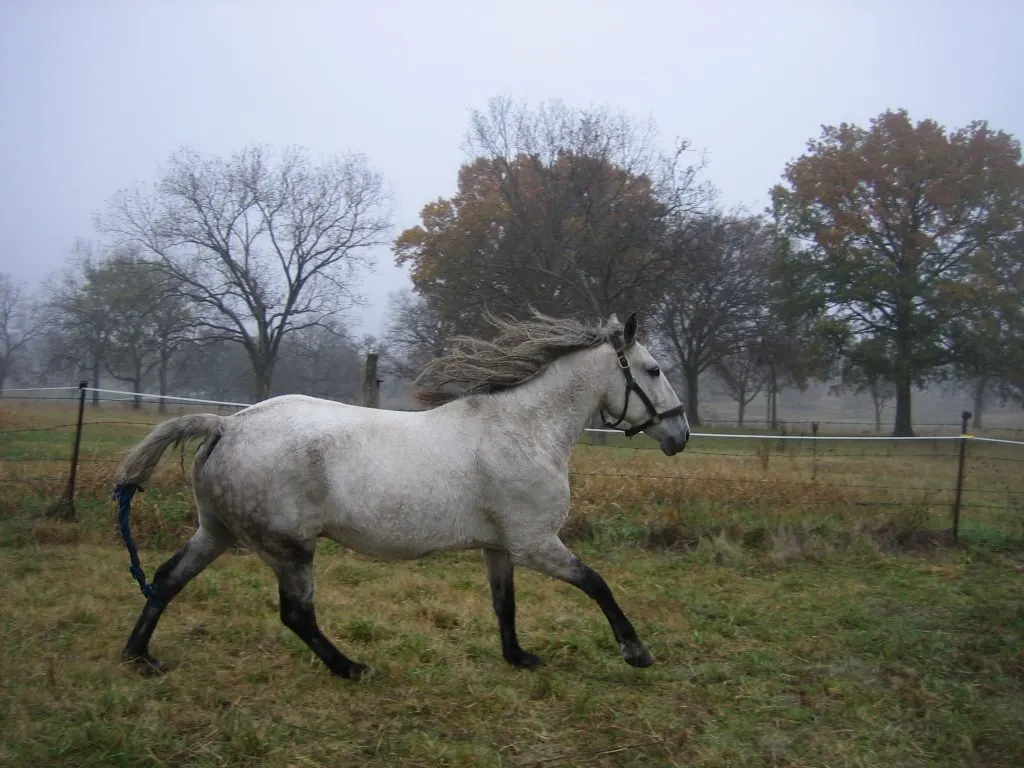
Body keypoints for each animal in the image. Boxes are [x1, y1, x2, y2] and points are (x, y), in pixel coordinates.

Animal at [112, 309, 692, 684]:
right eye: (654, 370)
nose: (680, 434)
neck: (524, 429)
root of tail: (227, 425)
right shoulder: (535, 543)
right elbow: (597, 584)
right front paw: (636, 651)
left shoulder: (500, 546)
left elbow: (504, 604)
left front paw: (519, 657)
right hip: (289, 548)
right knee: (296, 615)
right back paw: (352, 668)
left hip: (217, 531)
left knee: (166, 579)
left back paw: (140, 658)